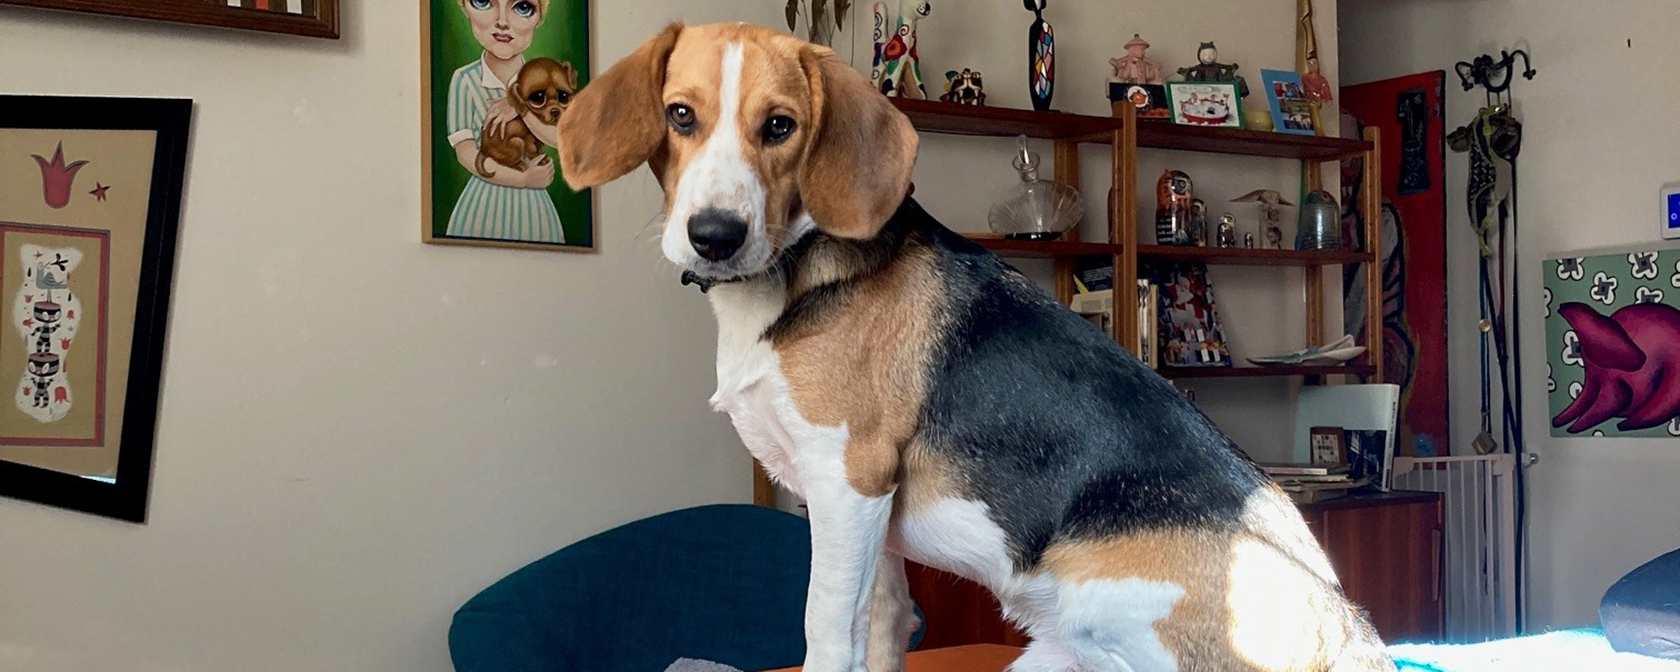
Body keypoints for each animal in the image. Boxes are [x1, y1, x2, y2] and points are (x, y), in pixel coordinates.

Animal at [561, 22, 1391, 672]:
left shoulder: (847, 479)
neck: (788, 270)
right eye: (679, 115)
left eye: (780, 127)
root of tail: (1355, 634)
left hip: (1095, 602)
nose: (715, 236)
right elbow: (882, 629)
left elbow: (824, 632)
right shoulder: (868, 528)